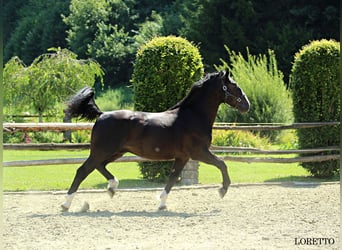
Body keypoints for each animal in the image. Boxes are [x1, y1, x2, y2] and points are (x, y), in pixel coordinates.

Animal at [61, 70, 250, 211]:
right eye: (234, 86)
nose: (247, 105)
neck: (193, 116)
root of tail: (102, 115)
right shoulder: (199, 152)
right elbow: (222, 164)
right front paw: (222, 190)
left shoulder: (183, 157)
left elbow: (172, 178)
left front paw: (162, 204)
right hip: (101, 151)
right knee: (82, 171)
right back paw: (65, 204)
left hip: (115, 152)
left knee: (100, 166)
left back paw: (112, 188)